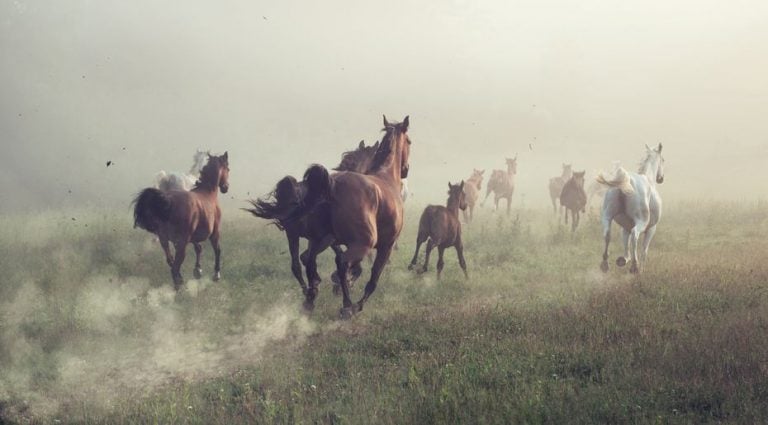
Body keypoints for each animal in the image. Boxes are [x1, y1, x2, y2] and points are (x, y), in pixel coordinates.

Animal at [133, 152, 230, 289]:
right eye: (228, 169)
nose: (225, 187)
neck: (207, 192)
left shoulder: (192, 237)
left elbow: (198, 248)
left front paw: (197, 270)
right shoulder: (214, 232)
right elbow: (217, 250)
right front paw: (216, 274)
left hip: (165, 240)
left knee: (171, 261)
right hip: (182, 243)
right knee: (175, 266)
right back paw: (179, 285)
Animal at [244, 140, 379, 296]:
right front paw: (343, 281)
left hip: (293, 234)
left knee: (296, 265)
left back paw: (308, 290)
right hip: (318, 238)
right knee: (307, 259)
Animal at [293, 115, 411, 318]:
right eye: (409, 141)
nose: (406, 169)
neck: (386, 178)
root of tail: (331, 186)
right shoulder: (384, 245)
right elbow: (372, 278)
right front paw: (356, 303)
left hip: (320, 239)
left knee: (308, 259)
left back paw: (311, 298)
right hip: (360, 243)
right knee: (341, 262)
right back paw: (347, 305)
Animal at [597, 143, 664, 274]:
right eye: (663, 160)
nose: (661, 178)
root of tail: (626, 182)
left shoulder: (625, 228)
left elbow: (626, 246)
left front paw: (623, 260)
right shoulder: (651, 229)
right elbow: (644, 251)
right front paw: (640, 268)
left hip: (607, 216)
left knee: (607, 234)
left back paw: (605, 264)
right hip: (641, 221)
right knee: (635, 235)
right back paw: (635, 266)